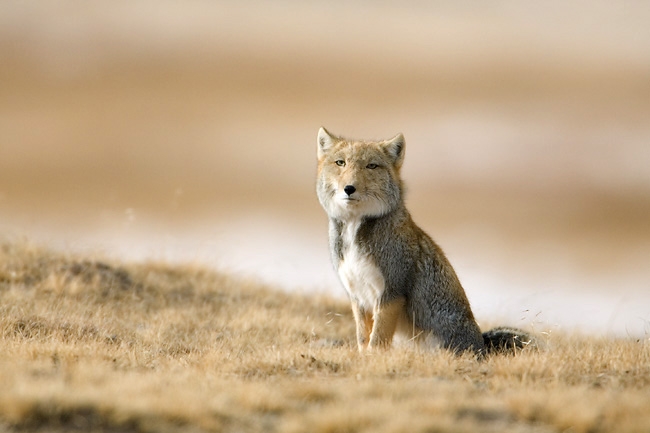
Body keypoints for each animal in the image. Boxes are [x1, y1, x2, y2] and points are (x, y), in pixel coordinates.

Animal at [316, 127, 534, 356]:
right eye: (340, 163)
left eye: (371, 166)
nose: (349, 188)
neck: (355, 229)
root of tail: (482, 346)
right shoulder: (358, 297)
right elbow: (363, 339)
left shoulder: (391, 292)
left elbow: (377, 340)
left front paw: (372, 358)